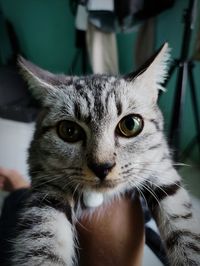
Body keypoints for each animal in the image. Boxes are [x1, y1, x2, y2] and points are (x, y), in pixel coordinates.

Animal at [10, 42, 200, 264]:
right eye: (69, 130)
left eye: (130, 124)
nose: (102, 167)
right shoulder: (47, 185)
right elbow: (41, 239)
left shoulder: (160, 165)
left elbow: (185, 226)